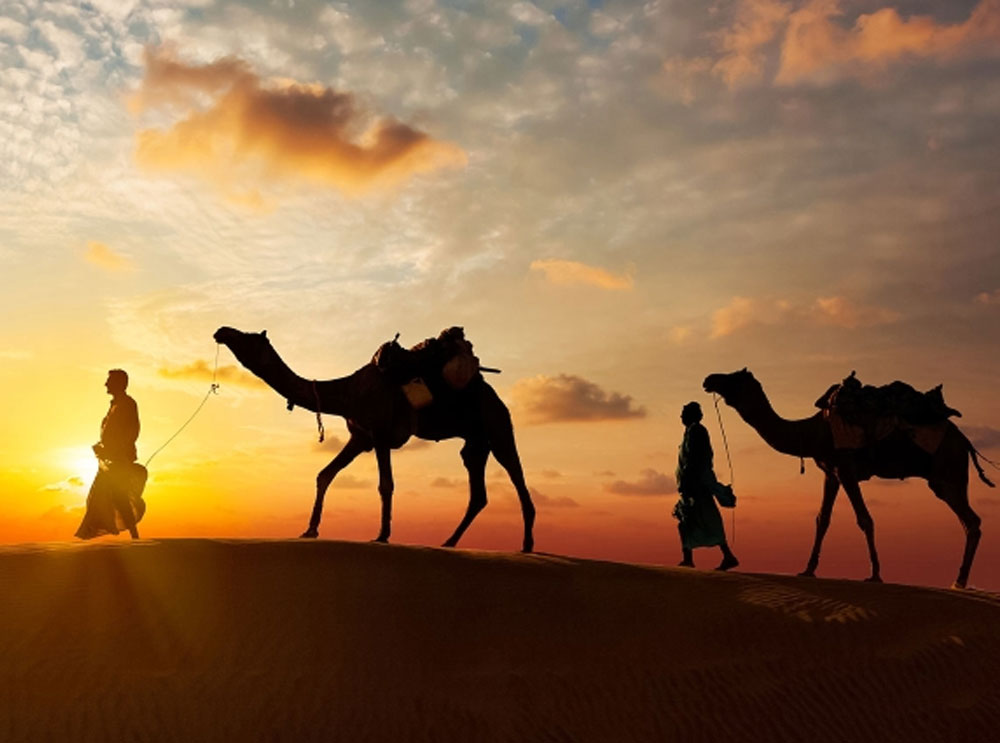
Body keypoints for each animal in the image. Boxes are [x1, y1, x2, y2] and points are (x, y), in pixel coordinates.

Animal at [214, 326, 536, 552]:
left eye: (249, 337)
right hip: (475, 442)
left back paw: (527, 544)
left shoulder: (381, 433)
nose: (221, 331)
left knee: (516, 474)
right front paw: (310, 530)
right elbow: (324, 474)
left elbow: (386, 484)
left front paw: (382, 535)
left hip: (498, 426)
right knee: (478, 490)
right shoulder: (360, 438)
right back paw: (449, 541)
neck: (346, 393)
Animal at [704, 370, 992, 588]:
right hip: (951, 477)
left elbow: (864, 518)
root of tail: (965, 441)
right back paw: (960, 580)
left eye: (734, 377)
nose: (709, 379)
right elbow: (822, 519)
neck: (814, 432)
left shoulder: (846, 467)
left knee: (972, 521)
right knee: (969, 522)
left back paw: (959, 581)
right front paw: (808, 569)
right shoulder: (831, 472)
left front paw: (875, 574)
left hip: (946, 474)